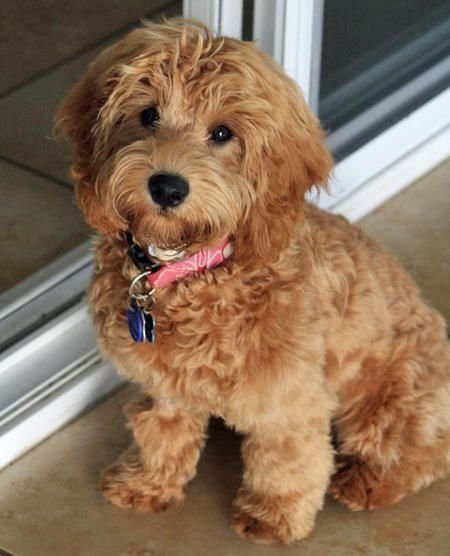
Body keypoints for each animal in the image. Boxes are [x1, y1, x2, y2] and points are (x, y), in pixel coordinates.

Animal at [56, 18, 450, 548]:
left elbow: (287, 458)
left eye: (223, 133)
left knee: (424, 450)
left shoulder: (289, 398)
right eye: (148, 114)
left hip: (393, 400)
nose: (167, 186)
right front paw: (147, 482)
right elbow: (162, 428)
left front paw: (272, 514)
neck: (190, 268)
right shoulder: (166, 384)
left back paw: (368, 480)